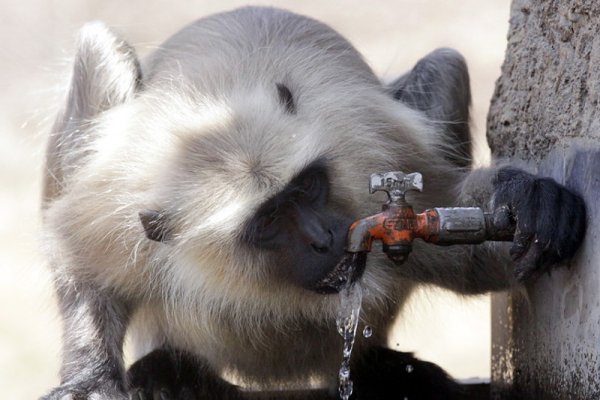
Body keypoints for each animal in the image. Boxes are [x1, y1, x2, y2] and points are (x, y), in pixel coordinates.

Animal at [42, 7, 584, 400]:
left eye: (306, 188)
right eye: (269, 220)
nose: (325, 237)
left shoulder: (383, 157)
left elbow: (466, 246)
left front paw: (531, 202)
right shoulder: (117, 211)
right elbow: (79, 260)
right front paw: (90, 379)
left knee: (445, 63)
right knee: (95, 48)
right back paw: (175, 372)